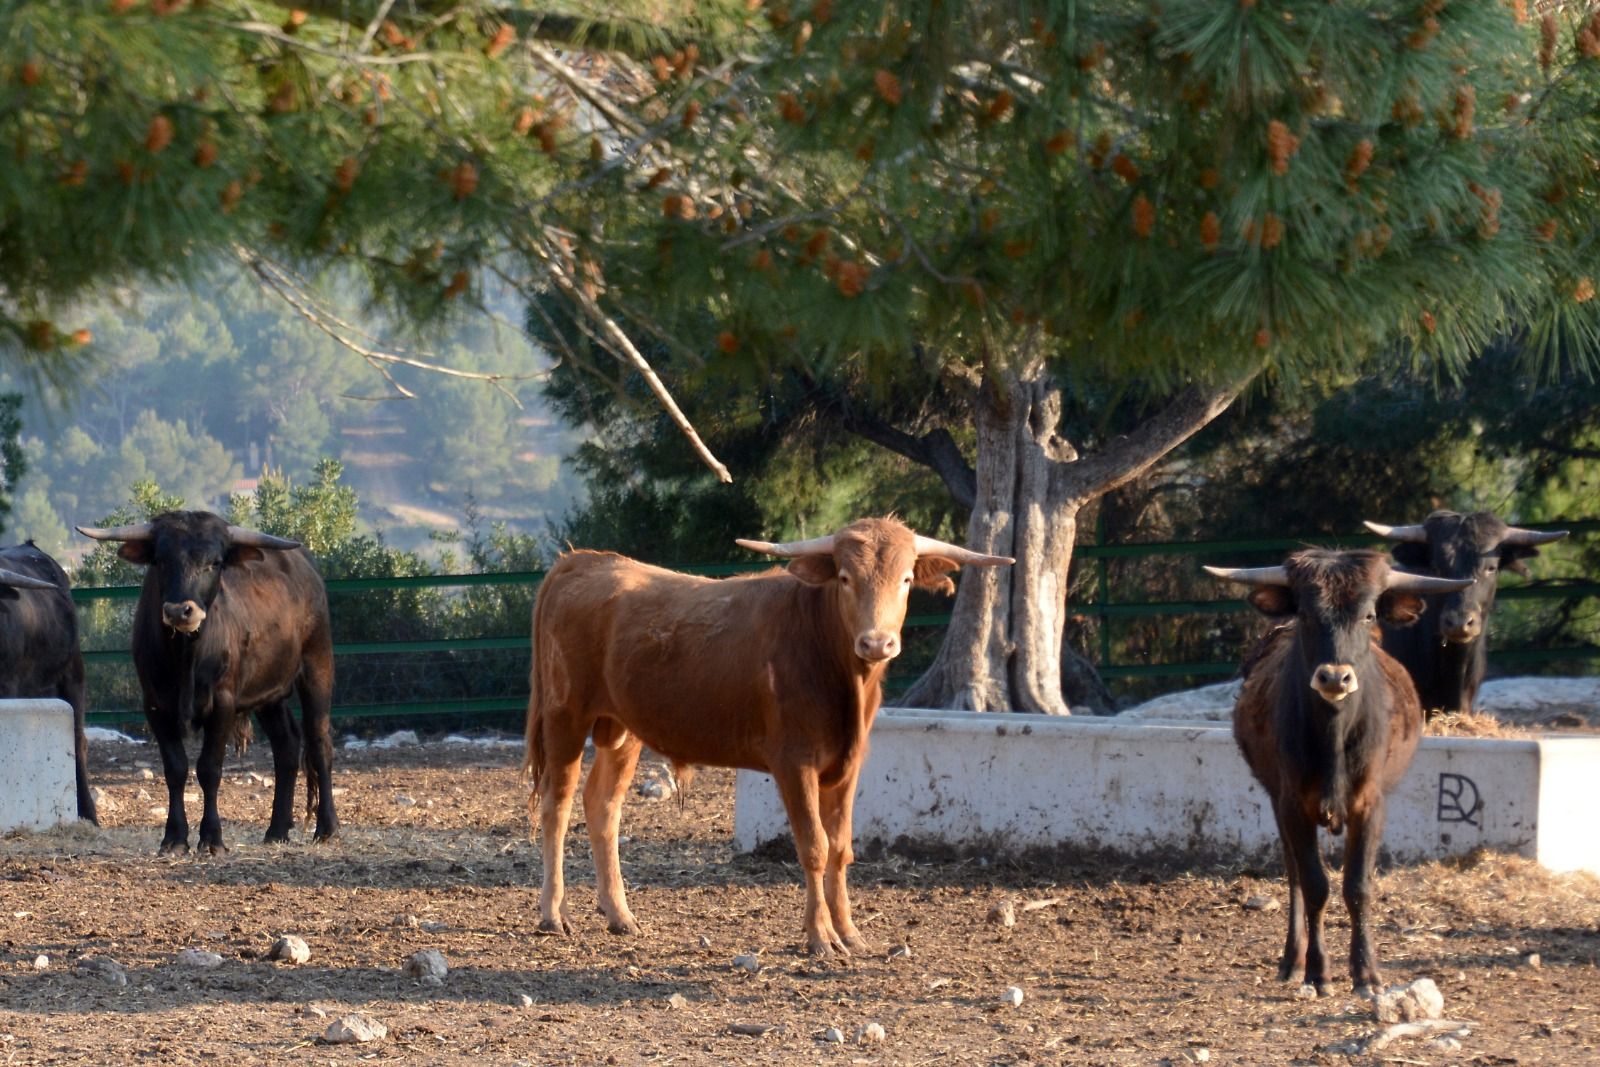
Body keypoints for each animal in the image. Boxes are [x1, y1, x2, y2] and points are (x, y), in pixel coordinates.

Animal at [77, 511, 337, 857]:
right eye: (160, 560)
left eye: (215, 562)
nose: (180, 610)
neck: (186, 654)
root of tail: (305, 565)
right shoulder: (155, 705)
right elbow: (175, 768)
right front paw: (174, 838)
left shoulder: (223, 702)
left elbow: (209, 768)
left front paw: (212, 838)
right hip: (269, 694)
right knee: (287, 744)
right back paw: (276, 830)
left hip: (317, 665)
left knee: (320, 742)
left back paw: (327, 828)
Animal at [524, 518, 1011, 959]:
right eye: (845, 578)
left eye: (906, 579)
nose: (877, 643)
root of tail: (583, 560)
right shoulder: (793, 762)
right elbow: (814, 847)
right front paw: (820, 937)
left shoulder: (847, 765)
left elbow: (840, 848)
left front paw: (850, 932)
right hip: (565, 716)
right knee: (557, 805)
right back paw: (552, 914)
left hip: (622, 728)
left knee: (603, 805)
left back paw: (620, 915)